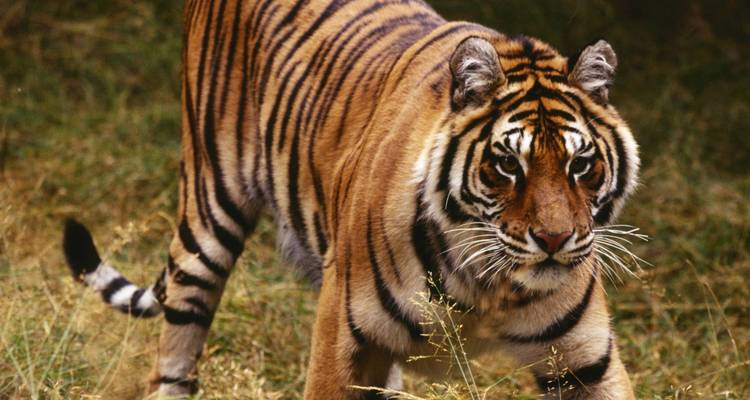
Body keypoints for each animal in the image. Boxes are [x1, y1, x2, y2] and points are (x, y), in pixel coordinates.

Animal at [62, 0, 641, 398]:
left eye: (580, 165)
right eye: (507, 165)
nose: (555, 240)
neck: (486, 286)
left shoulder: (586, 362)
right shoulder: (344, 339)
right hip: (209, 211)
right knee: (175, 351)